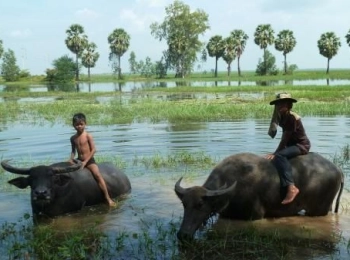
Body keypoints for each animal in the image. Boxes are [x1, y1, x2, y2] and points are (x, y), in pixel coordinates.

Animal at [174, 152, 344, 240]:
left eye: (200, 205)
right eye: (184, 204)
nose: (183, 235)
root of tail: (338, 170)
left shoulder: (255, 215)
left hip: (318, 210)